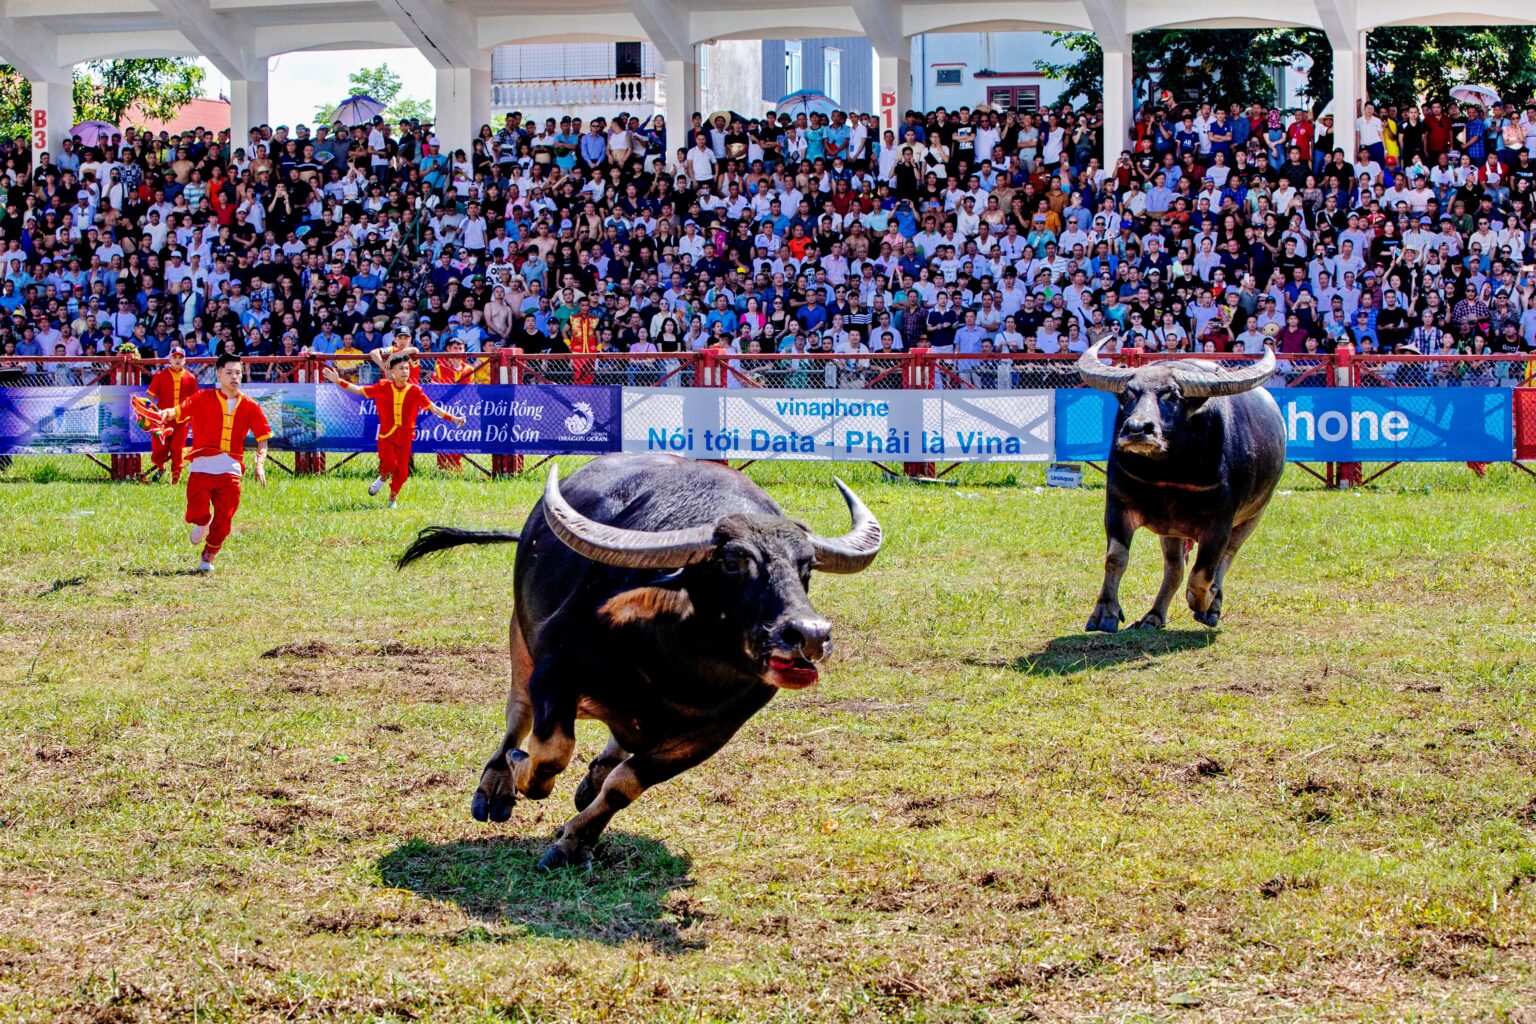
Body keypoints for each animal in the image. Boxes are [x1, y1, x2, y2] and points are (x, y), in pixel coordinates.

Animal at [396, 451, 884, 872]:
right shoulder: (555, 666)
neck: (678, 666)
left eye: (807, 566)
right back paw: (495, 787)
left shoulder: (713, 732)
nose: (810, 634)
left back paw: (592, 776)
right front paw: (521, 769)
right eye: (732, 562)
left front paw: (575, 840)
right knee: (518, 713)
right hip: (520, 635)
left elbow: (624, 784)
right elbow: (550, 752)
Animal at [1075, 343, 1290, 632]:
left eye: (1173, 395)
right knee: (1174, 569)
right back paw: (1153, 616)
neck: (1169, 472)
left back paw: (1212, 607)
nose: (1137, 429)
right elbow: (1116, 558)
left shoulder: (1220, 522)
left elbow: (1203, 573)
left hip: (1253, 517)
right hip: (1173, 530)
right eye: (1128, 394)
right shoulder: (1118, 505)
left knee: (1226, 558)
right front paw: (1104, 613)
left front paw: (1205, 601)